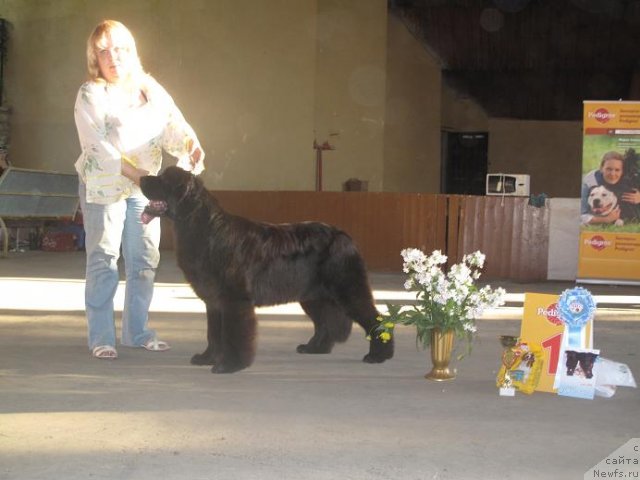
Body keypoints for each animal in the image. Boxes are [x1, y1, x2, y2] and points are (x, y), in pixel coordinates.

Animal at [140, 167, 392, 374]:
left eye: (163, 180)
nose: (141, 177)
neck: (204, 229)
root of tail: (344, 236)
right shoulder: (214, 301)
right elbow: (214, 334)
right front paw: (207, 358)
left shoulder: (234, 300)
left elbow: (234, 334)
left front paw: (229, 365)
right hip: (314, 295)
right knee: (325, 322)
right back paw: (314, 348)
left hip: (348, 289)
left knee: (375, 318)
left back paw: (379, 355)